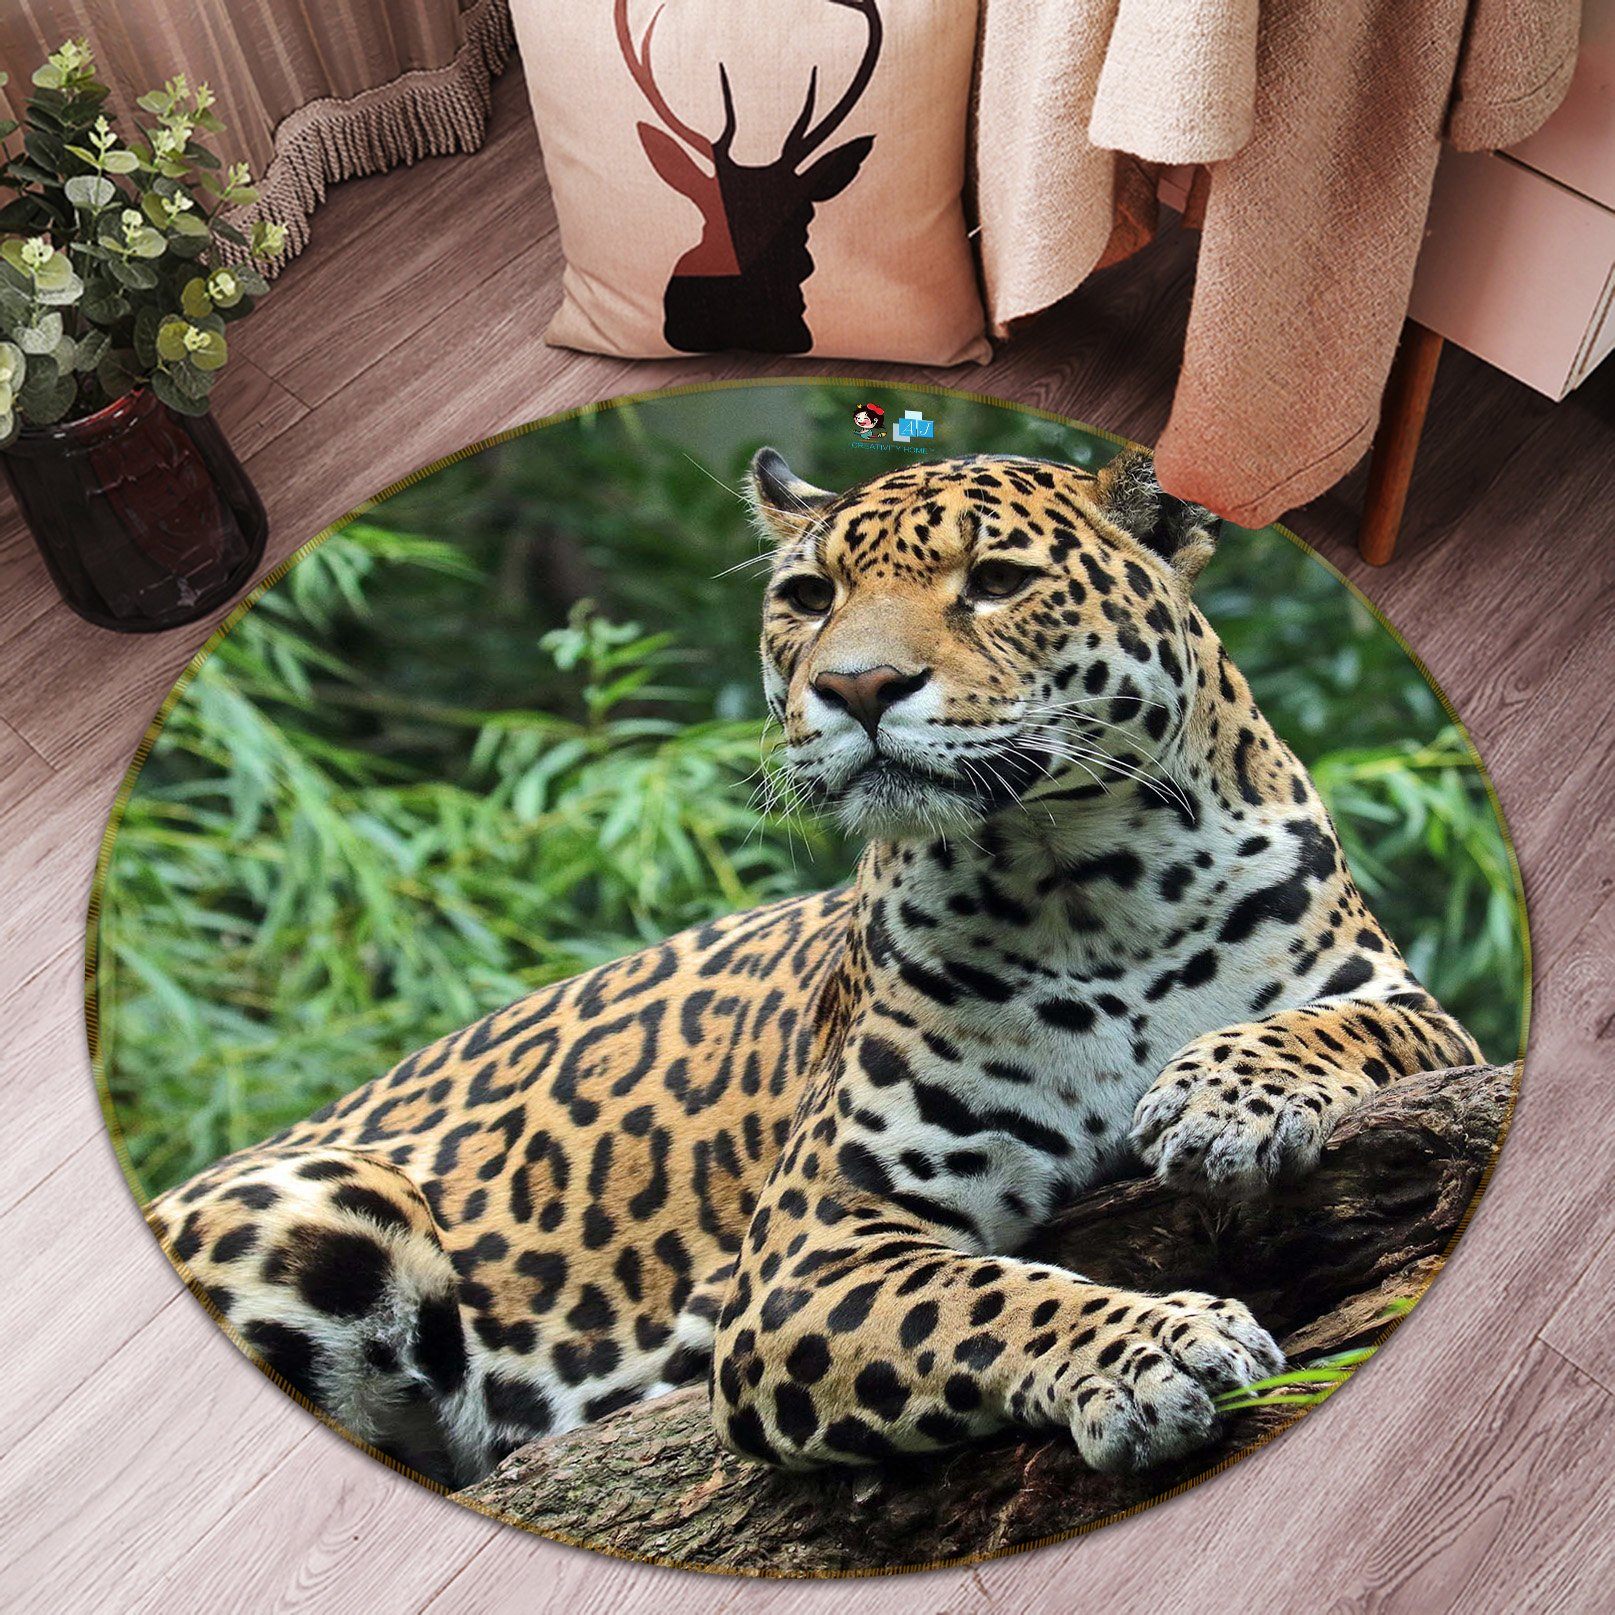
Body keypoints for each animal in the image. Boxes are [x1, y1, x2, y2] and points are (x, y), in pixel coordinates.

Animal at [145, 445, 1480, 1488]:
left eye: (997, 583)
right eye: (808, 593)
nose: (856, 686)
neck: (1087, 882)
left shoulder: (1409, 1005)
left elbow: (1345, 1025)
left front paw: (1216, 1101)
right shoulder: (811, 1252)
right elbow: (994, 1298)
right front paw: (1153, 1348)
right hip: (320, 1193)